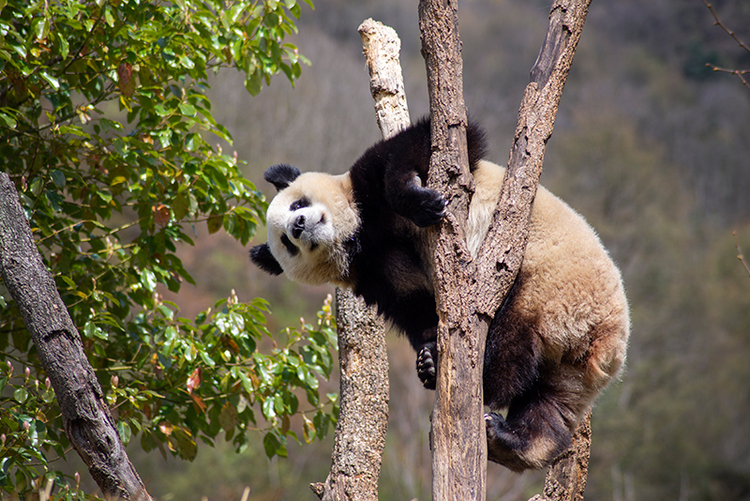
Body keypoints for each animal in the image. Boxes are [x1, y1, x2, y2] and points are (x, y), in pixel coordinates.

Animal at [251, 118, 628, 472]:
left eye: (297, 204)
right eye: (285, 242)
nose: (298, 225)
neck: (355, 237)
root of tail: (605, 340)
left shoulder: (368, 189)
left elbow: (429, 146)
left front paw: (423, 203)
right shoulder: (377, 272)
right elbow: (416, 306)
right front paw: (429, 349)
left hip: (551, 284)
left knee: (513, 336)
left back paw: (475, 383)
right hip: (567, 354)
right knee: (548, 401)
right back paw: (506, 435)